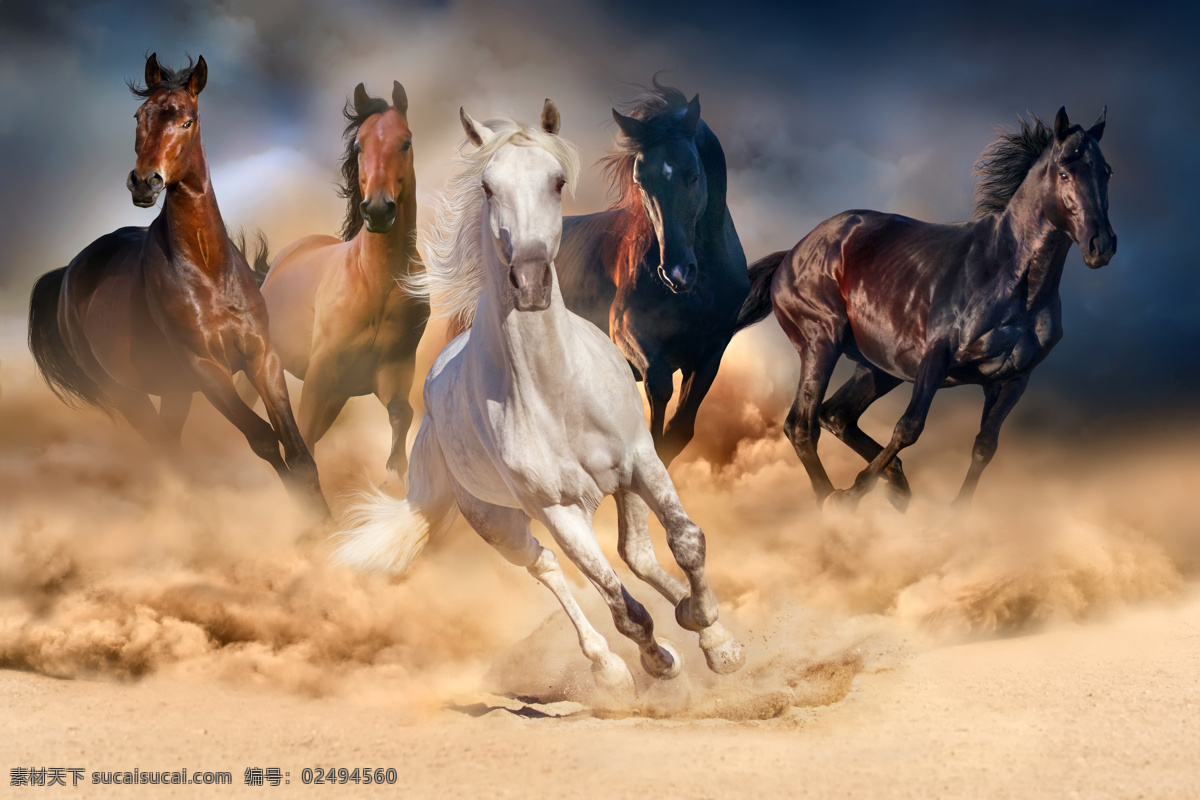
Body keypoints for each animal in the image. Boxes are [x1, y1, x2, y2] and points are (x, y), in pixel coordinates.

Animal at [27, 54, 327, 516]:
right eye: (139, 116)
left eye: (188, 121)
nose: (144, 181)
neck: (208, 270)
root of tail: (68, 273)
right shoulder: (205, 368)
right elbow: (262, 439)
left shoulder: (262, 357)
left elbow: (297, 450)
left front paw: (328, 524)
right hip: (127, 394)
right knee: (168, 452)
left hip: (172, 391)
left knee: (171, 446)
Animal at [253, 82, 427, 475]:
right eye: (359, 145)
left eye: (406, 142)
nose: (378, 210)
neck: (376, 282)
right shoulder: (321, 374)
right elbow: (302, 441)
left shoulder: (391, 371)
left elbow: (402, 415)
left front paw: (394, 477)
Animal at [554, 80, 748, 466]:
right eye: (641, 182)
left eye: (694, 175)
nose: (676, 272)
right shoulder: (626, 330)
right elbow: (658, 389)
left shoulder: (711, 351)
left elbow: (680, 430)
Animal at [736, 107, 1116, 510]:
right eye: (1065, 172)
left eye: (1106, 171)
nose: (1101, 245)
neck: (1010, 280)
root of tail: (792, 253)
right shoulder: (936, 357)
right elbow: (909, 427)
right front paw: (854, 493)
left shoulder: (1013, 379)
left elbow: (985, 446)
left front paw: (955, 513)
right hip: (821, 342)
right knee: (802, 425)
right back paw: (834, 501)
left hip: (878, 367)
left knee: (835, 415)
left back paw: (896, 485)